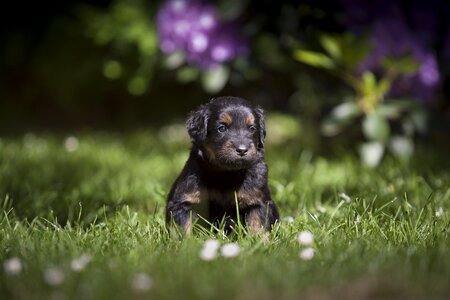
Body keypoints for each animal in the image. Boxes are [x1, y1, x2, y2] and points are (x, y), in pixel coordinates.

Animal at [166, 96, 278, 234]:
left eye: (252, 128)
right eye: (222, 128)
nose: (242, 150)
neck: (226, 174)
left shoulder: (258, 200)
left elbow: (258, 225)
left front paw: (259, 240)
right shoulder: (183, 201)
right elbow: (183, 227)